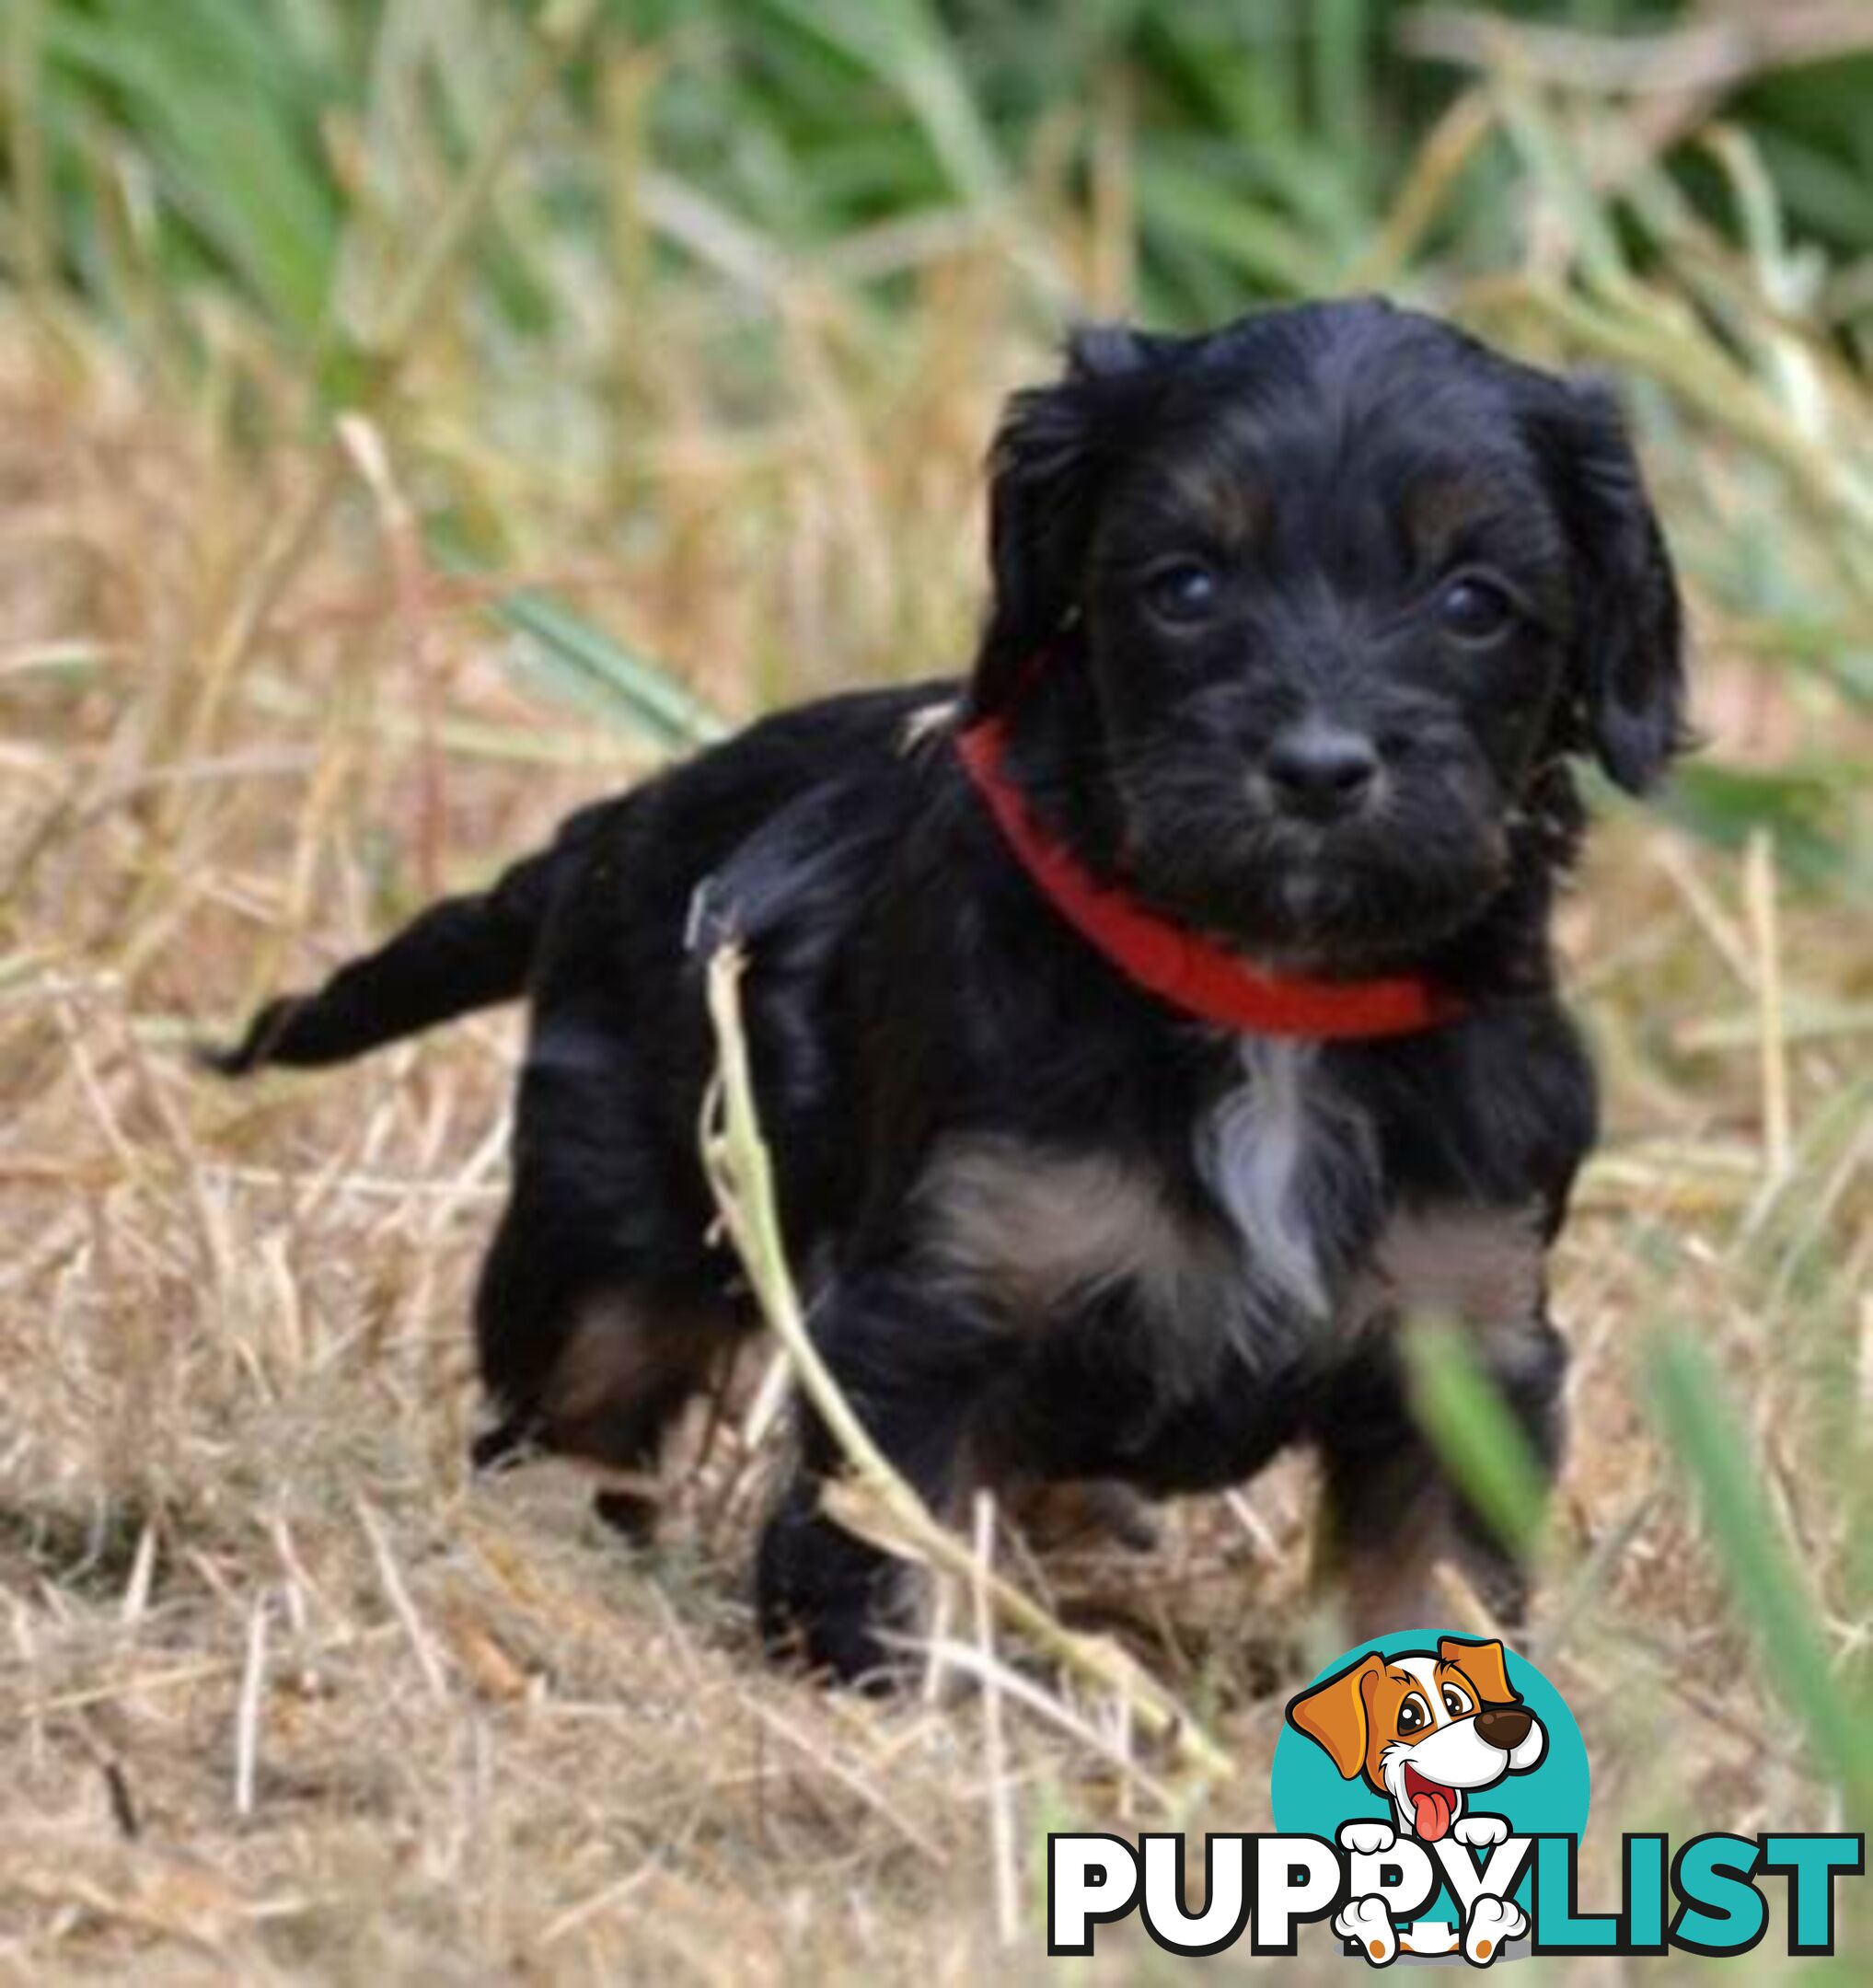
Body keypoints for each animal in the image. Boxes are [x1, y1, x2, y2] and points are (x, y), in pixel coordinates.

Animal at [208, 302, 1685, 1685]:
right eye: (1184, 584)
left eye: (1474, 602)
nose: (1318, 768)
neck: (1264, 1002)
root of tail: (615, 821)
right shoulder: (934, 1308)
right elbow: (885, 1567)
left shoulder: (1465, 1343)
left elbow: (1422, 1591)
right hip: (608, 1221)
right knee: (576, 1392)